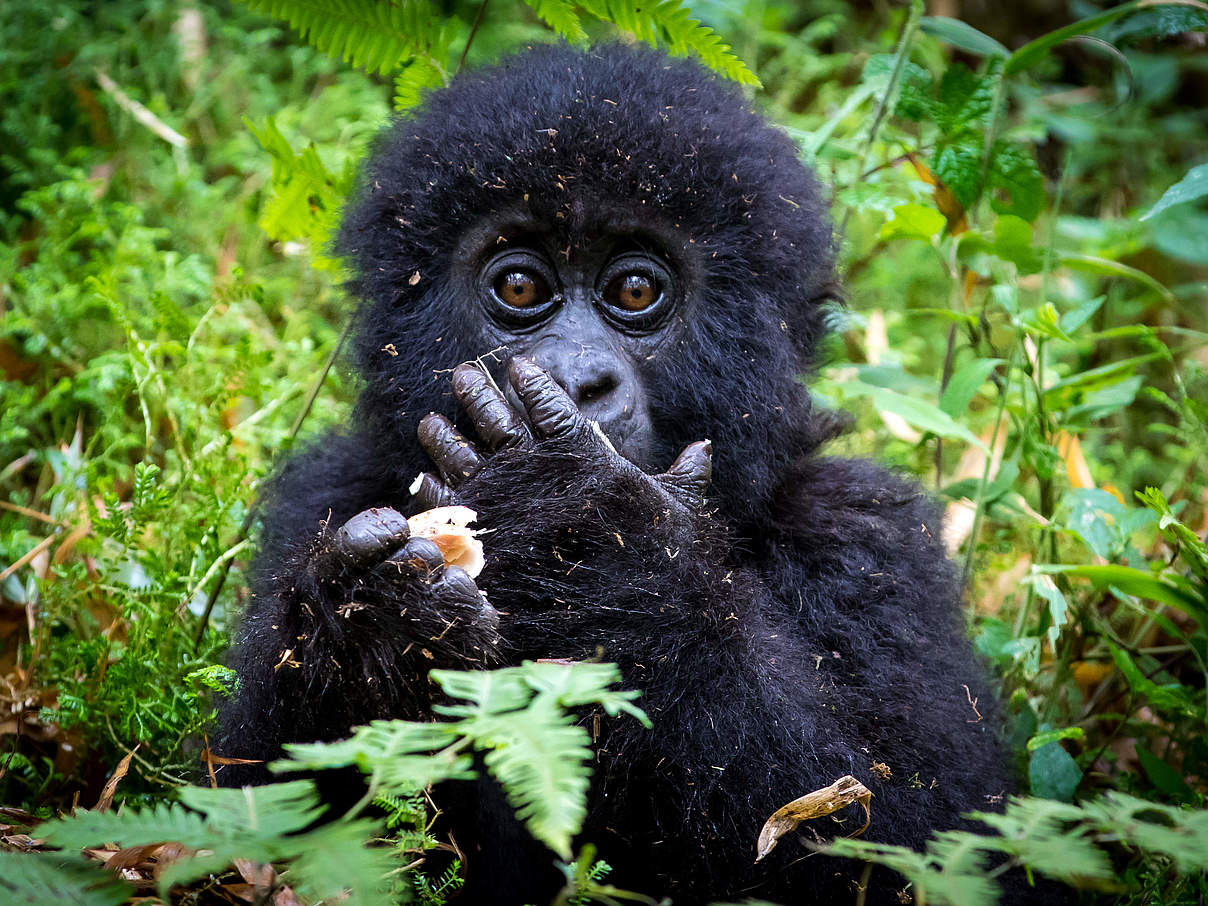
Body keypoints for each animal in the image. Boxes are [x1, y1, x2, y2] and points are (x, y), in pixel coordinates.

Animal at [219, 42, 1019, 906]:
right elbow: (244, 813)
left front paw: (585, 527)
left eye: (635, 290)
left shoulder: (867, 536)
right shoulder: (323, 495)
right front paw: (369, 628)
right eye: (520, 286)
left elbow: (915, 838)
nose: (575, 379)